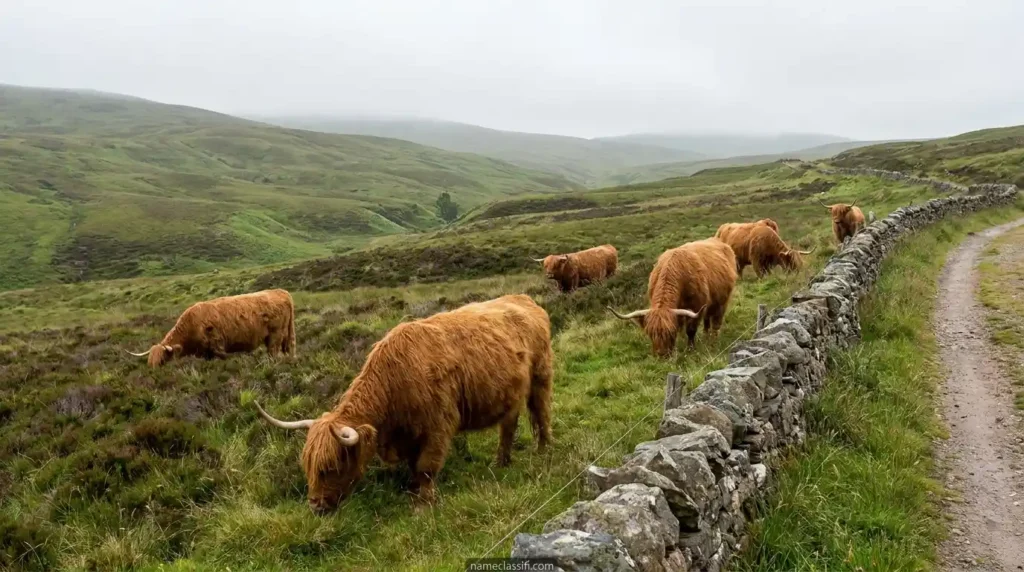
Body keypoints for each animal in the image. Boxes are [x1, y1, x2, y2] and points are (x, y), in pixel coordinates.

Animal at [126, 289, 296, 367]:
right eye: (149, 362)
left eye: (161, 361)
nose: (154, 373)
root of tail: (281, 292)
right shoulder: (205, 353)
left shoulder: (217, 346)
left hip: (275, 335)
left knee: (273, 353)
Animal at [254, 294, 553, 513]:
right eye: (308, 467)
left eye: (330, 468)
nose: (315, 506)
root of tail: (524, 298)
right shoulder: (409, 436)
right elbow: (413, 466)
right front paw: (412, 489)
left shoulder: (438, 427)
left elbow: (426, 467)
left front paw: (424, 503)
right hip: (510, 394)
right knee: (509, 425)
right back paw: (501, 462)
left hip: (541, 378)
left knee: (541, 413)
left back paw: (543, 450)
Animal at [608, 238, 738, 357]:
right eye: (650, 333)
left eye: (670, 332)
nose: (662, 355)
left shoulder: (696, 307)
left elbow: (690, 330)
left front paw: (690, 349)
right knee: (707, 318)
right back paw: (706, 335)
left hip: (722, 301)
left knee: (716, 319)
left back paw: (713, 340)